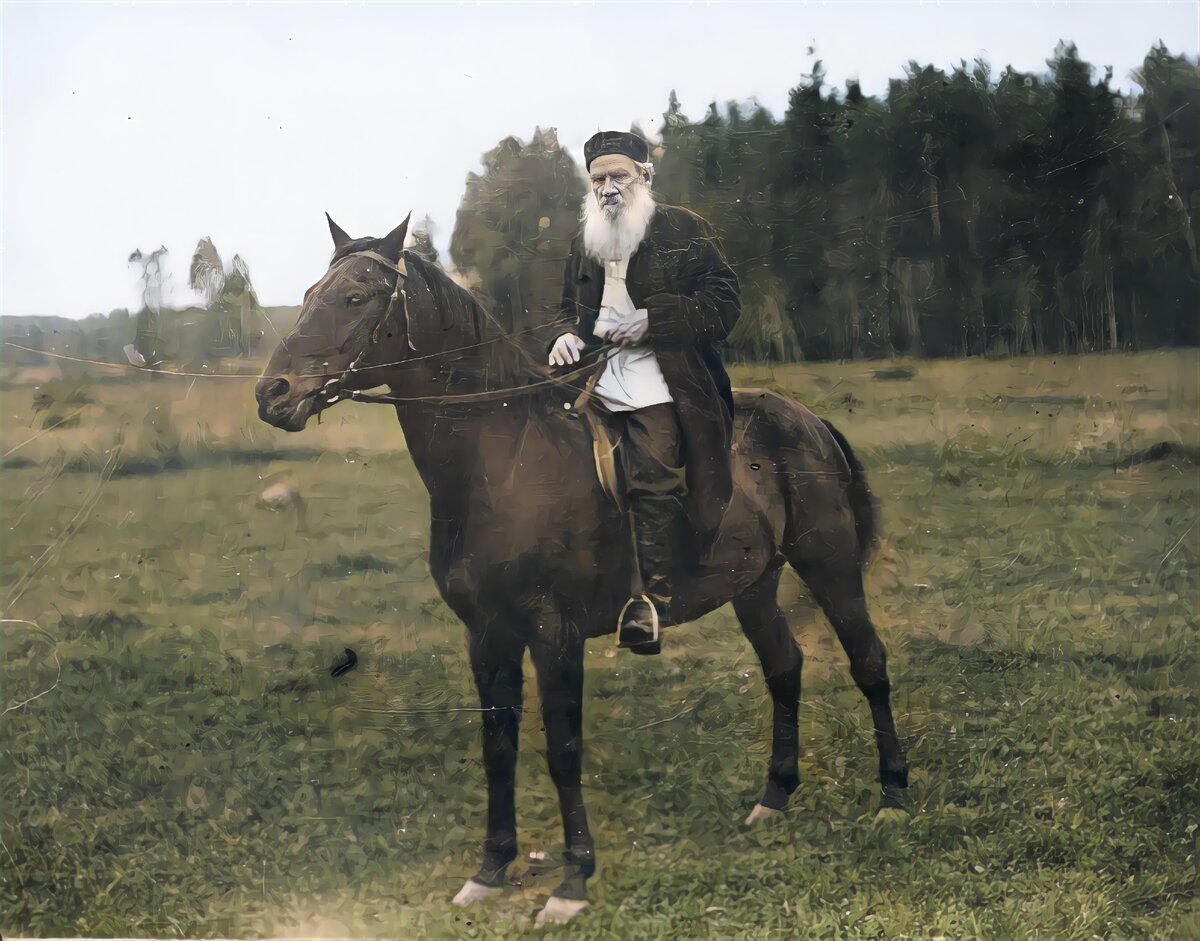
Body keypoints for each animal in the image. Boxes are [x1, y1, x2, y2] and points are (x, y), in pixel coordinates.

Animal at [255, 213, 907, 926]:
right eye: (310, 293)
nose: (271, 394)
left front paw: (571, 883)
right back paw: (775, 797)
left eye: (354, 298)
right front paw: (490, 870)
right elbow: (498, 747)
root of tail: (808, 419)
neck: (501, 460)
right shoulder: (486, 634)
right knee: (784, 666)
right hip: (754, 583)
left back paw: (893, 797)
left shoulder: (553, 634)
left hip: (830, 565)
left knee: (869, 662)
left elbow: (561, 751)